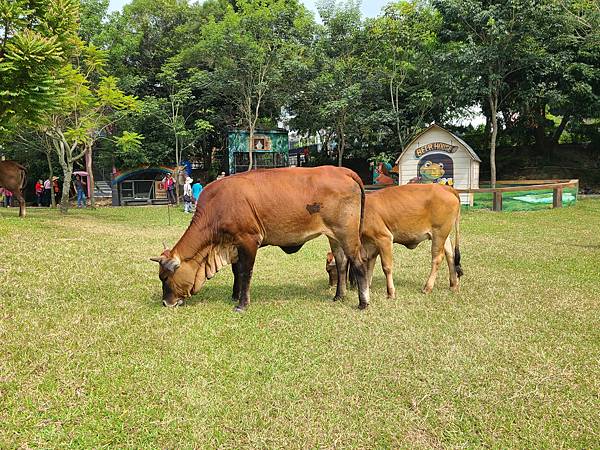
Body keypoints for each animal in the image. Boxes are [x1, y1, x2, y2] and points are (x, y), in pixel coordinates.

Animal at [151, 166, 370, 312]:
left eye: (165, 277)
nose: (165, 303)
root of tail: (343, 170)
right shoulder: (233, 243)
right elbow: (236, 271)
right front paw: (235, 295)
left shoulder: (248, 240)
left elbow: (245, 272)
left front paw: (242, 304)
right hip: (334, 236)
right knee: (341, 263)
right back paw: (339, 296)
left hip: (347, 233)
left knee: (358, 263)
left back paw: (363, 303)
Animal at [330, 183, 462, 298]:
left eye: (331, 269)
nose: (333, 285)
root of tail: (445, 187)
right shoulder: (371, 245)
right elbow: (369, 266)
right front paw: (368, 286)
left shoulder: (384, 238)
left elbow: (386, 267)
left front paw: (390, 292)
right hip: (443, 234)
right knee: (450, 255)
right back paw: (453, 285)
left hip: (439, 233)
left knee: (437, 258)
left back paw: (427, 287)